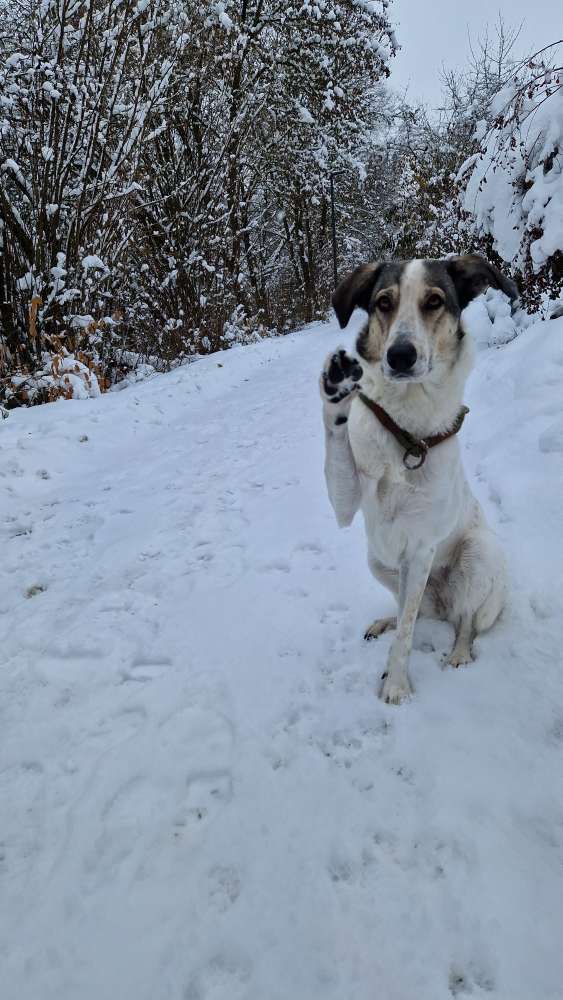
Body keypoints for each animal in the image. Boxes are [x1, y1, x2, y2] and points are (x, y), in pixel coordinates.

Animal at [320, 252, 516, 704]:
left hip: (477, 554)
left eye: (434, 301)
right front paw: (336, 391)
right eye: (383, 303)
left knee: (464, 621)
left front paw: (395, 684)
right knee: (413, 608)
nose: (400, 355)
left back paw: (458, 653)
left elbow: (409, 633)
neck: (405, 432)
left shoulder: (422, 546)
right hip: (377, 560)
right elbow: (337, 439)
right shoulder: (345, 503)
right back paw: (384, 622)